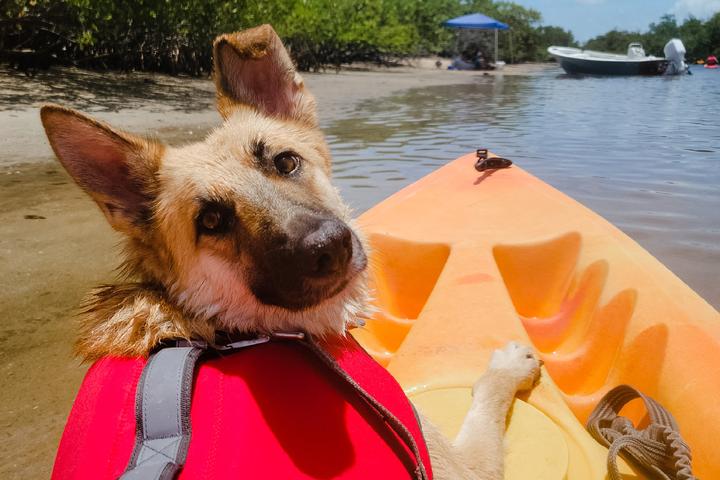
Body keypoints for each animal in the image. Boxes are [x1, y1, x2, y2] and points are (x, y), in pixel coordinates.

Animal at [40, 23, 540, 480]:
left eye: (285, 162)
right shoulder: (464, 464)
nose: (328, 249)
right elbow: (486, 401)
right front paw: (509, 366)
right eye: (211, 221)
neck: (222, 331)